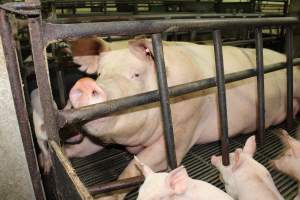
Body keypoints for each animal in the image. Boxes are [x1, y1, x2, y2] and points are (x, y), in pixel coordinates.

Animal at [67, 37, 300, 198]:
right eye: (100, 74)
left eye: (136, 74)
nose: (85, 84)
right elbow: (82, 148)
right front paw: (67, 151)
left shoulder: (182, 131)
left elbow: (131, 170)